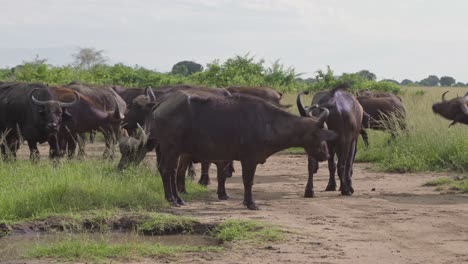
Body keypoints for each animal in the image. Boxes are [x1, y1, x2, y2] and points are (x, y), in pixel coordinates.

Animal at [119, 89, 334, 209]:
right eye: (319, 135)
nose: (325, 154)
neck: (269, 122)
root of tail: (160, 104)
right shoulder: (249, 159)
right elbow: (248, 181)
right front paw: (250, 203)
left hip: (170, 149)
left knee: (169, 171)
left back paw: (177, 198)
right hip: (170, 147)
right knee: (167, 170)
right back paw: (173, 199)